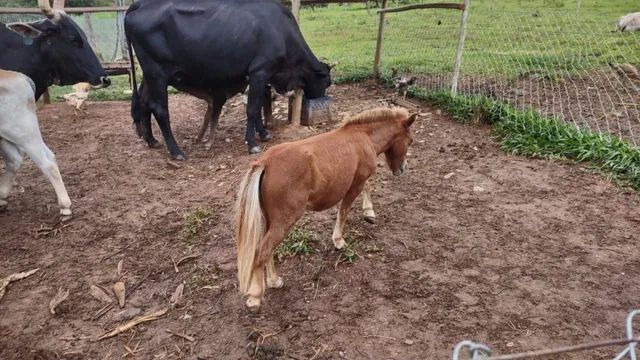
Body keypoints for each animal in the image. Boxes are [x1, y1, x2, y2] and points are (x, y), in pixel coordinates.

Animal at [127, 0, 332, 159]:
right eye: (327, 82)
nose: (320, 97)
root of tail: (139, 4)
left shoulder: (253, 76)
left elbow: (258, 105)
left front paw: (263, 133)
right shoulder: (260, 71)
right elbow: (252, 108)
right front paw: (252, 144)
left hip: (150, 76)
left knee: (144, 103)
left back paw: (152, 141)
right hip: (157, 73)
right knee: (160, 109)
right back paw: (176, 152)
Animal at [234, 107, 416, 310]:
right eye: (410, 141)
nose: (403, 169)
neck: (363, 136)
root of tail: (266, 163)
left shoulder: (359, 180)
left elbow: (368, 187)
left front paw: (369, 212)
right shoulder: (354, 186)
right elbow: (344, 212)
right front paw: (339, 240)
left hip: (270, 221)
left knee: (268, 251)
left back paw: (274, 280)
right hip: (283, 222)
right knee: (262, 251)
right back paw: (256, 296)